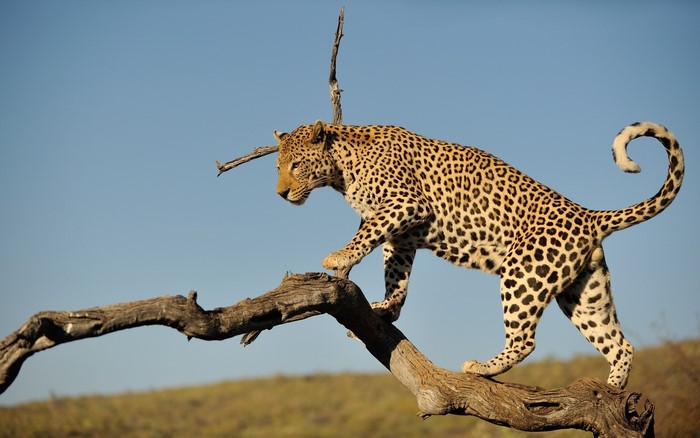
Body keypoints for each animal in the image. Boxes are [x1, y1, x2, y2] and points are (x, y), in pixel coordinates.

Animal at [273, 120, 684, 388]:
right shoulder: (402, 237)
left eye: (295, 164)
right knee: (620, 344)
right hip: (584, 293)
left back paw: (481, 367)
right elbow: (396, 274)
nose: (280, 193)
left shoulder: (405, 205)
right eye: (278, 166)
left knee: (525, 340)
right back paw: (612, 390)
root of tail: (588, 215)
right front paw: (387, 308)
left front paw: (339, 258)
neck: (341, 170)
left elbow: (366, 235)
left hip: (523, 275)